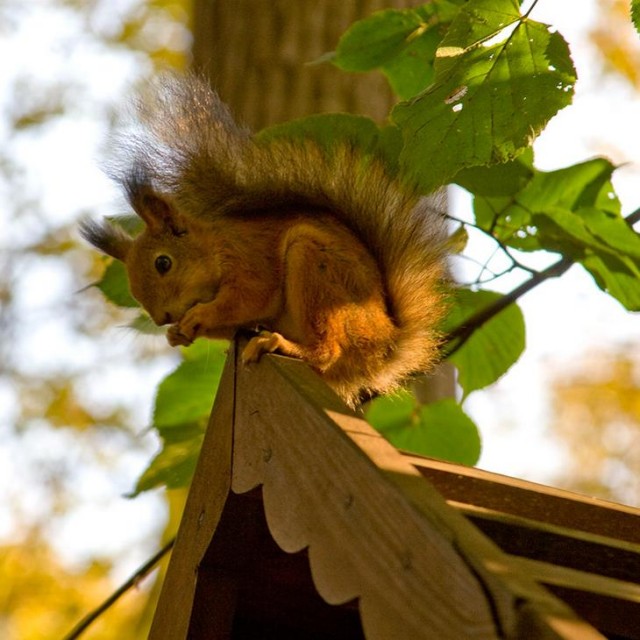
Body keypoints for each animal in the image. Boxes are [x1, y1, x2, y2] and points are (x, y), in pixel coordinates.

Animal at [80, 72, 448, 408]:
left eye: (163, 263)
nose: (162, 319)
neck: (214, 248)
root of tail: (385, 346)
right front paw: (178, 334)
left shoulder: (249, 258)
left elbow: (249, 298)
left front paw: (201, 316)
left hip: (315, 269)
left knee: (327, 351)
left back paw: (286, 346)